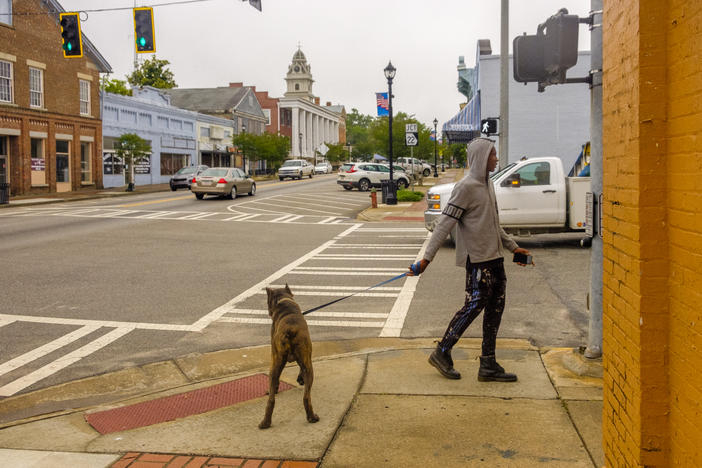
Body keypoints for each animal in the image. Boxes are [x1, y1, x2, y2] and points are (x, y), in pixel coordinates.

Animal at [260, 284, 320, 430]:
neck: (283, 301)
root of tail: (290, 330)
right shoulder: (306, 357)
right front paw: (300, 378)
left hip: (275, 364)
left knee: (271, 398)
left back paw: (266, 422)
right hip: (308, 366)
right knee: (306, 397)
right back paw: (311, 417)